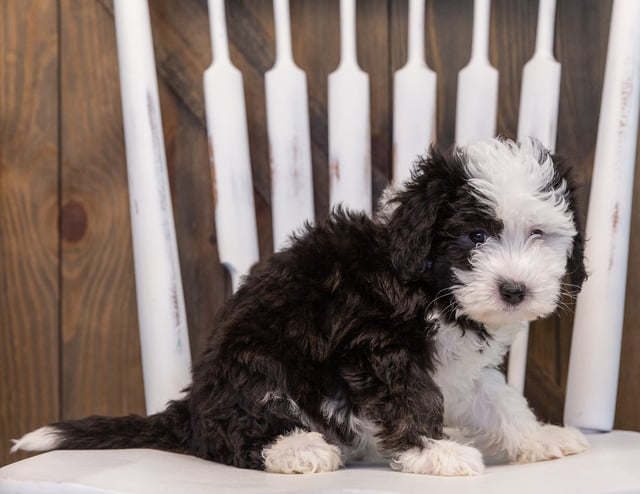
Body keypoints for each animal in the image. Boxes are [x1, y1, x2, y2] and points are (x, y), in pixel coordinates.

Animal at [11, 138, 592, 474]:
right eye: (475, 236)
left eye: (538, 235)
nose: (514, 289)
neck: (430, 287)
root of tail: (190, 407)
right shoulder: (374, 347)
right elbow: (410, 396)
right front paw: (434, 452)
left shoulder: (461, 366)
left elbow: (500, 399)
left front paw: (536, 437)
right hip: (255, 363)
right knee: (236, 431)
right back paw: (296, 448)